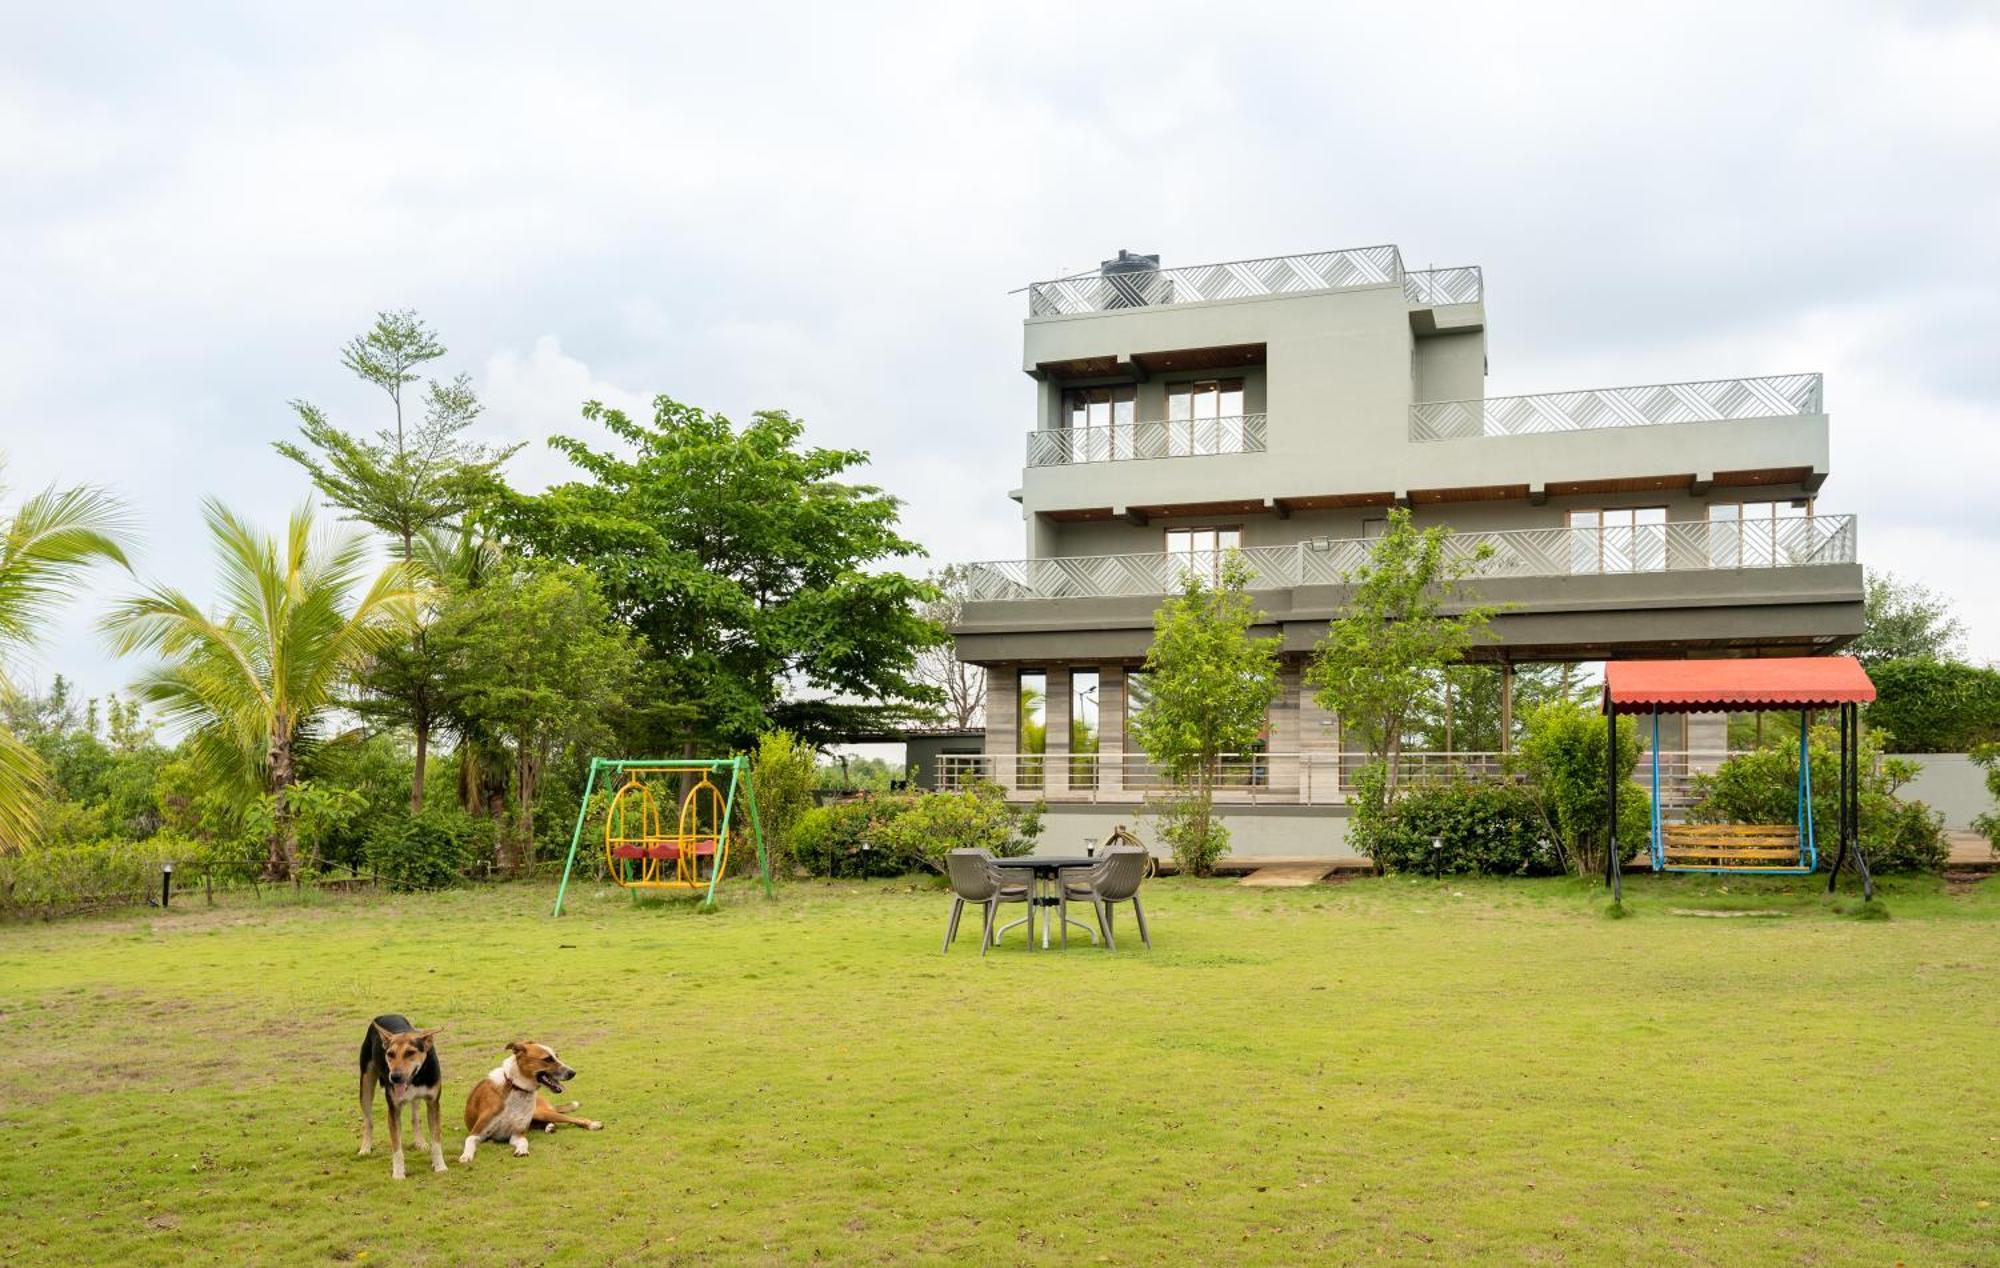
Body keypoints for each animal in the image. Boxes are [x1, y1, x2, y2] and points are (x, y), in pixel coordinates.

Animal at [366, 1008, 452, 1176]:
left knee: (415, 1117)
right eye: (390, 1054)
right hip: (366, 1082)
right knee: (368, 1120)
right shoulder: (393, 1109)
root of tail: (385, 1014)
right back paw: (365, 1148)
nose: (394, 1077)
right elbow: (397, 1147)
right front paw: (398, 1173)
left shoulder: (433, 1103)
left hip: (416, 1098)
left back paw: (419, 1142)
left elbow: (436, 1141)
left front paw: (440, 1166)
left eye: (410, 1053)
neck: (416, 1078)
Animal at [458, 1032, 600, 1160]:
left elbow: (524, 1141)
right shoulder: (476, 1133)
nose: (573, 1073)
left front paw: (522, 1150)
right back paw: (550, 1127)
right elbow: (469, 1141)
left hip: (540, 1113)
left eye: (557, 1056)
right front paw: (466, 1156)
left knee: (574, 1118)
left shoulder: (517, 1134)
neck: (516, 1087)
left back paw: (592, 1124)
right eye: (548, 1059)